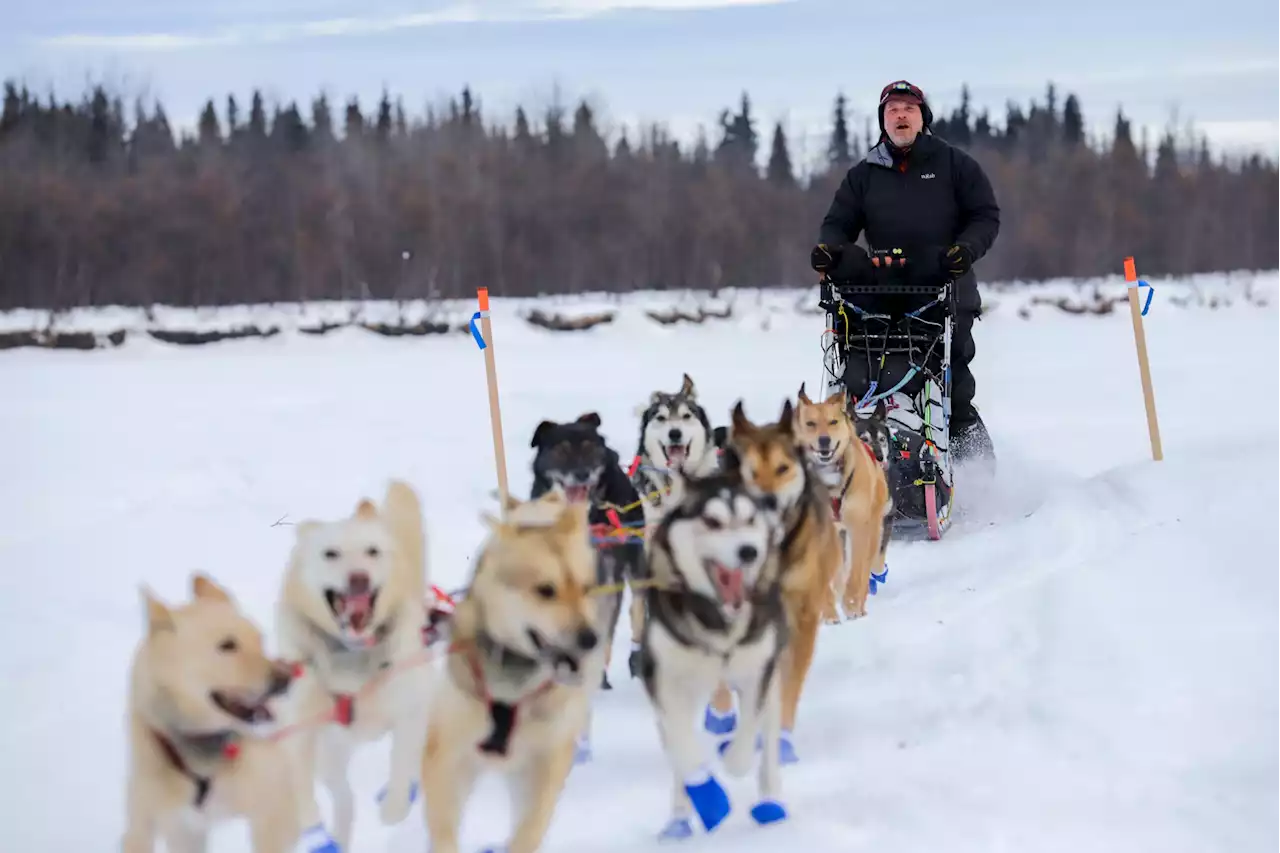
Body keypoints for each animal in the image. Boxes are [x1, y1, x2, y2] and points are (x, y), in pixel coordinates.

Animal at [273, 479, 435, 850]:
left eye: (372, 551)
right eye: (330, 554)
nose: (358, 577)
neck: (354, 655)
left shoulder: (412, 709)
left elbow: (403, 761)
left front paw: (394, 807)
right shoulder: (302, 727)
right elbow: (304, 789)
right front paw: (314, 829)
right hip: (332, 750)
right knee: (343, 798)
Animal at [706, 399, 844, 763]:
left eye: (783, 468)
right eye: (751, 471)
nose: (766, 500)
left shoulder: (802, 616)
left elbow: (789, 681)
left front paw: (781, 738)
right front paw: (721, 714)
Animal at [798, 379, 890, 617]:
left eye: (833, 421)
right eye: (810, 423)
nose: (824, 440)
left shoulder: (858, 527)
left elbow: (857, 572)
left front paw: (851, 604)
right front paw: (828, 611)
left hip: (873, 528)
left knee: (866, 566)